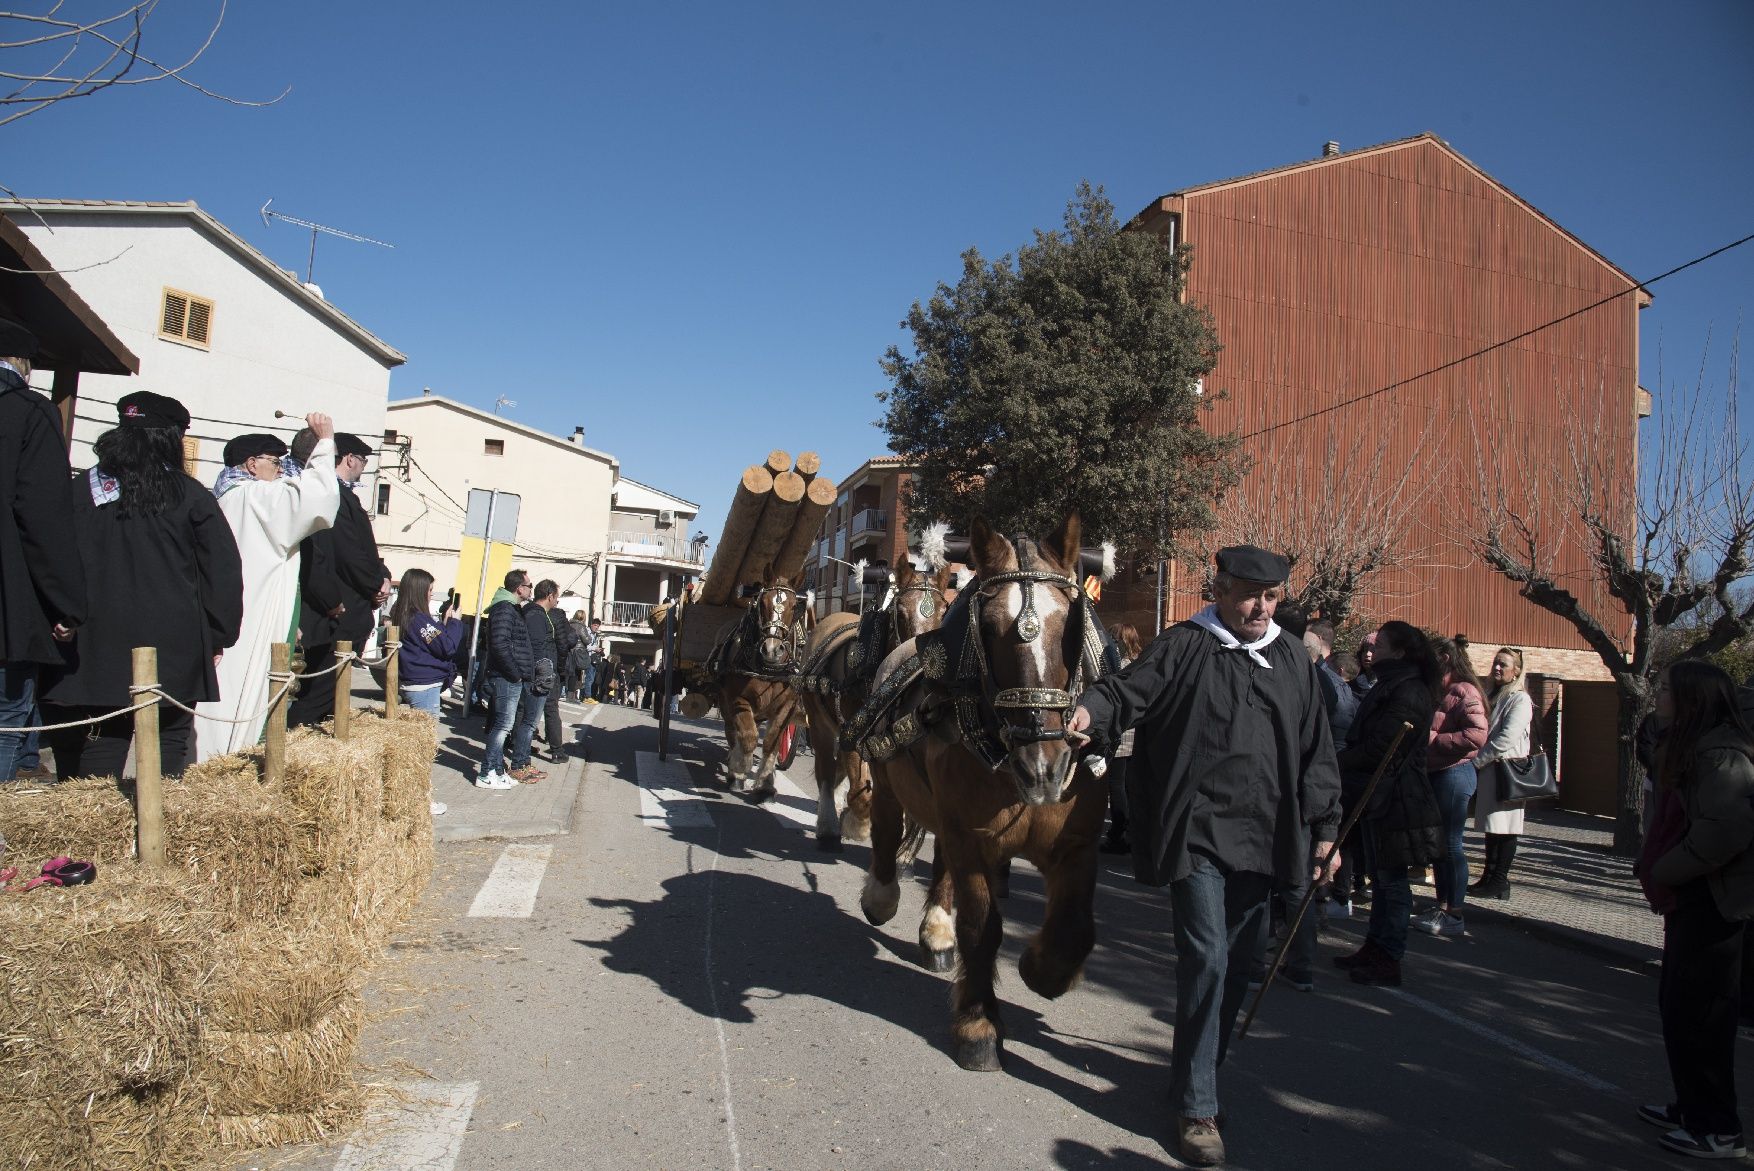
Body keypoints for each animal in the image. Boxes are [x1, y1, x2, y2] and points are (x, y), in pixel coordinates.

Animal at [698, 574, 806, 799]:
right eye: (762, 603)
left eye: (794, 606)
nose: (772, 650)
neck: (767, 670)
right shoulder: (737, 698)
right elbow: (748, 736)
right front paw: (739, 770)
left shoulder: (787, 705)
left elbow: (771, 742)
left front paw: (765, 782)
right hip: (725, 701)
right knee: (732, 731)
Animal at [796, 557, 954, 851]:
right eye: (900, 613)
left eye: (943, 612)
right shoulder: (850, 730)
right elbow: (860, 788)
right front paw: (857, 822)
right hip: (819, 723)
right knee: (825, 770)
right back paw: (827, 823)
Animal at [841, 511, 1101, 1072]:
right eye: (989, 627)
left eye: (1071, 625)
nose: (1044, 768)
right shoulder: (972, 840)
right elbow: (982, 929)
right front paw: (978, 1027)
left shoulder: (1076, 844)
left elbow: (1076, 929)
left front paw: (1039, 969)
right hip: (893, 783)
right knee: (887, 833)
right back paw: (883, 898)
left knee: (939, 863)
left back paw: (936, 933)